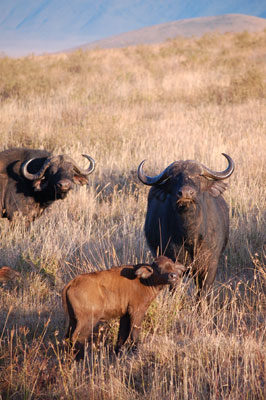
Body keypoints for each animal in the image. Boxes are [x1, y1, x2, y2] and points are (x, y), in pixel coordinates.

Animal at [138, 153, 234, 296]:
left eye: (198, 175)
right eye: (173, 177)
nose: (186, 193)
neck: (190, 236)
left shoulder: (210, 266)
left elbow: (203, 293)